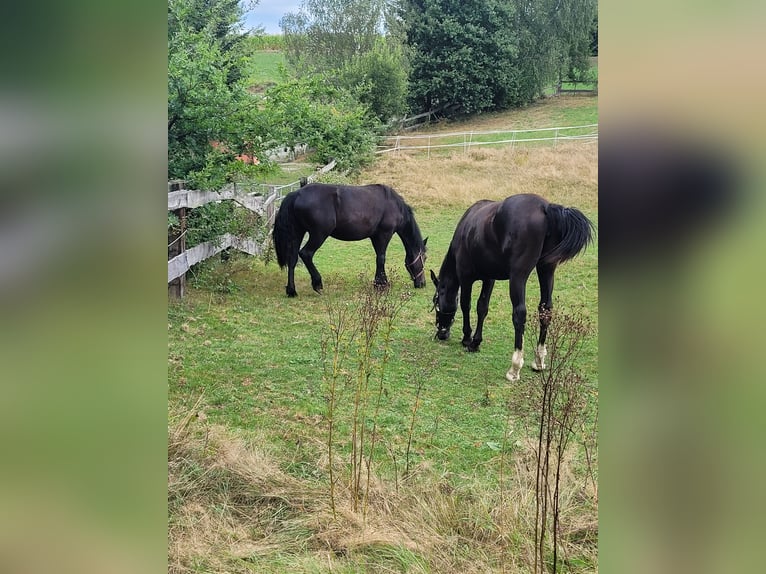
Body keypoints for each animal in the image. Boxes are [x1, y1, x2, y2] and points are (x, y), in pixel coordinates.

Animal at [272, 182, 428, 296]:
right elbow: (381, 258)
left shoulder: (375, 237)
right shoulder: (384, 234)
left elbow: (378, 257)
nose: (422, 283)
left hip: (298, 233)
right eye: (424, 258)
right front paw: (382, 284)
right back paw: (317, 284)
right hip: (318, 234)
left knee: (292, 259)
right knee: (306, 254)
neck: (393, 205)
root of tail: (297, 194)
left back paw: (291, 290)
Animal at [432, 195, 592, 382]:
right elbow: (482, 308)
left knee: (519, 313)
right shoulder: (489, 279)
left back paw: (515, 368)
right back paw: (539, 361)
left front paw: (466, 338)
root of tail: (545, 207)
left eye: (436, 301)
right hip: (546, 269)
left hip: (518, 276)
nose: (441, 334)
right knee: (545, 309)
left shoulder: (466, 278)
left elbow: (466, 305)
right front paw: (475, 342)